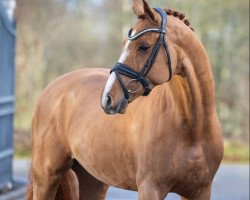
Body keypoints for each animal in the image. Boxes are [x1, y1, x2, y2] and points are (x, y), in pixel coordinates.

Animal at [26, 0, 223, 199]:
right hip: (46, 178)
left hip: (92, 180)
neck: (193, 129)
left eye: (143, 46)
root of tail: (49, 89)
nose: (107, 98)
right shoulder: (150, 188)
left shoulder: (200, 190)